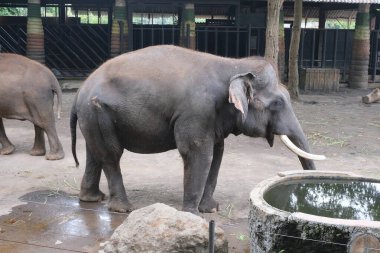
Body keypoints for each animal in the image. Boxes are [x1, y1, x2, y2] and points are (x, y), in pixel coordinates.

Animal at [70, 45, 324, 213]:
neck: (233, 64)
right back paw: (123, 209)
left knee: (95, 153)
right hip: (96, 110)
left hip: (92, 116)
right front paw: (192, 214)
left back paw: (92, 199)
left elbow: (217, 153)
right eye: (278, 103)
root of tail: (79, 91)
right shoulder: (197, 111)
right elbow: (198, 153)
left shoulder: (213, 117)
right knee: (111, 155)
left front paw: (210, 209)